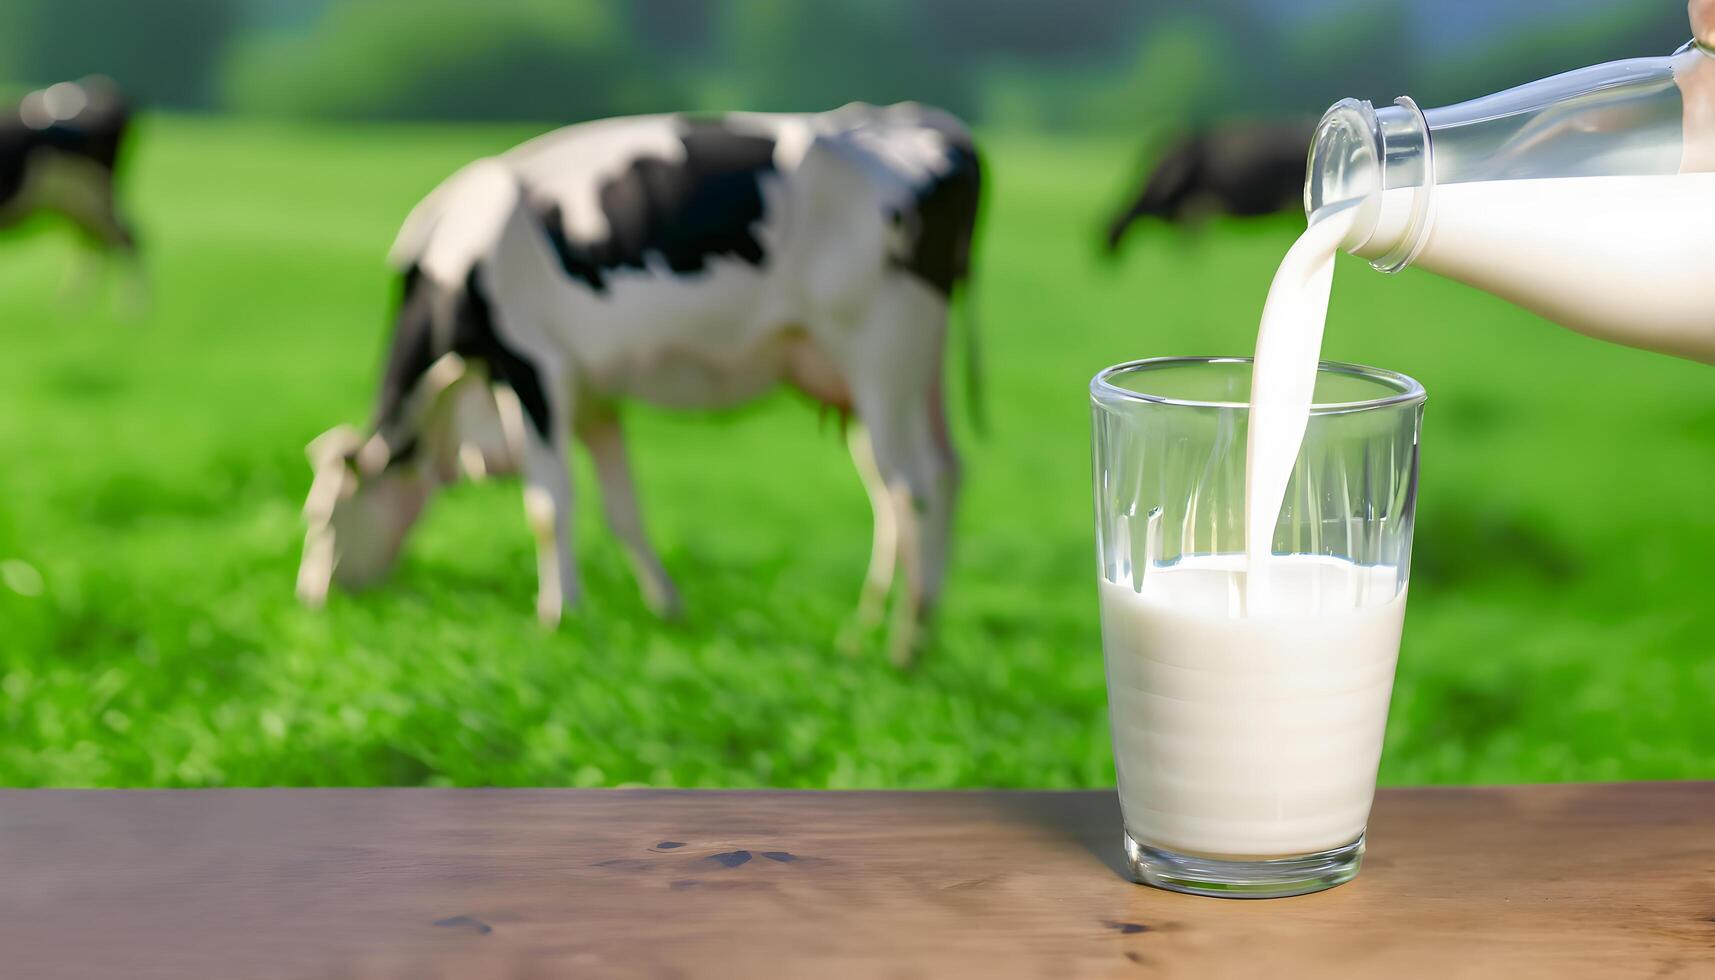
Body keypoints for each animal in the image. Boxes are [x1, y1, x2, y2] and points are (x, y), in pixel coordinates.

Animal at [298, 103, 980, 662]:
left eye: (322, 516)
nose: (311, 598)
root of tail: (923, 124)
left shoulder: (532, 366)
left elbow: (548, 505)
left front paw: (558, 616)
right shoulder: (592, 396)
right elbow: (624, 509)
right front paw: (668, 608)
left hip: (880, 357)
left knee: (908, 488)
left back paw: (904, 645)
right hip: (910, 375)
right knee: (934, 477)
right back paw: (883, 630)